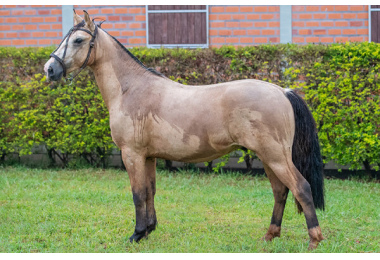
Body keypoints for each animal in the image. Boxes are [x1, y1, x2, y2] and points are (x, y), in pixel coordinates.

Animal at [43, 10, 324, 250]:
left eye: (79, 40)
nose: (49, 69)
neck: (131, 89)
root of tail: (282, 91)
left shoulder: (131, 154)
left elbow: (137, 194)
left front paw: (136, 234)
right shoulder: (149, 156)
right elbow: (150, 191)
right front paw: (148, 230)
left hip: (275, 156)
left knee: (301, 187)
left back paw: (314, 240)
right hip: (268, 157)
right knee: (280, 191)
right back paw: (270, 235)